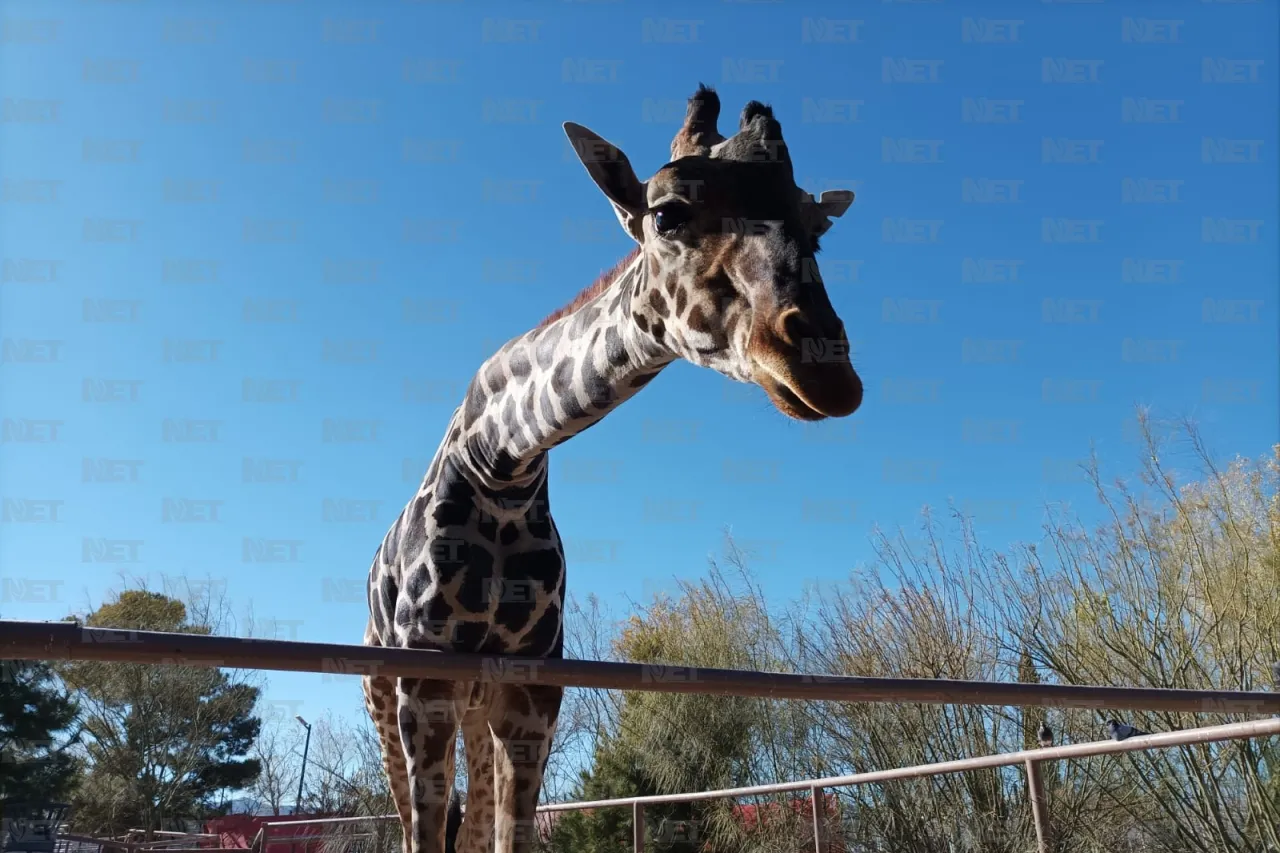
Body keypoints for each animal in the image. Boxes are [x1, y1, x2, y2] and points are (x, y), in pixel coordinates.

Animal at [360, 84, 860, 850]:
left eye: (815, 227)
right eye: (668, 213)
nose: (827, 372)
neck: (499, 466)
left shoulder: (532, 689)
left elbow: (505, 835)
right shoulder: (427, 681)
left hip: (474, 706)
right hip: (383, 696)